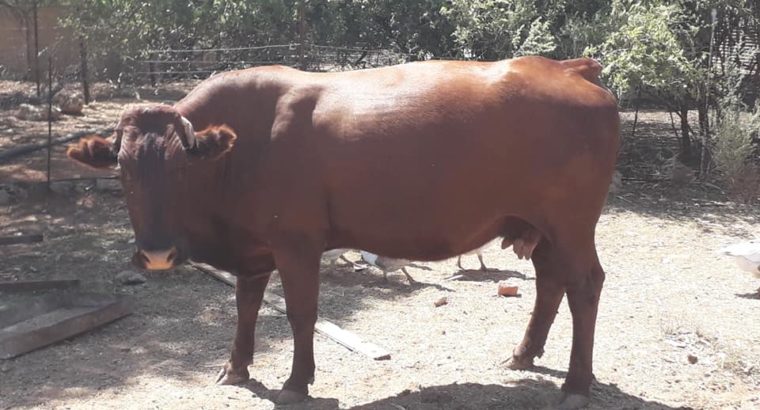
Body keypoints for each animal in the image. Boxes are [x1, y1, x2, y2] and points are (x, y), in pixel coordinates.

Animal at [68, 56, 620, 409]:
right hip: (539, 225)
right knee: (550, 282)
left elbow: (300, 314)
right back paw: (524, 355)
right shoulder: (253, 247)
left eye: (183, 169)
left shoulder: (296, 243)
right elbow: (246, 306)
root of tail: (565, 68)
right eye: (122, 170)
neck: (243, 152)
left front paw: (296, 382)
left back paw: (577, 384)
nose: (157, 254)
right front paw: (236, 368)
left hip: (572, 224)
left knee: (585, 285)